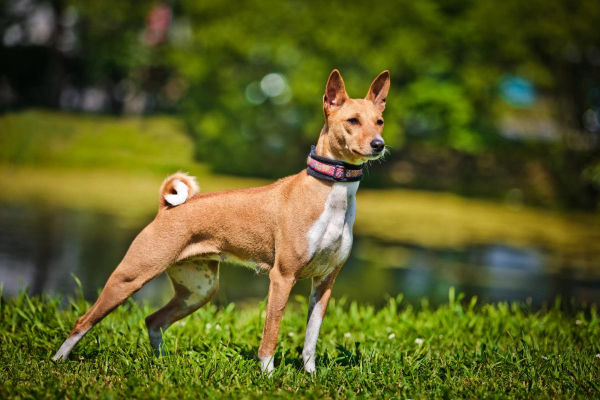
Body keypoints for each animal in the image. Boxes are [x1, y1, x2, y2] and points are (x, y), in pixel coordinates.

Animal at [54, 69, 392, 376]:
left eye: (379, 121)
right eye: (352, 121)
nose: (379, 144)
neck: (331, 193)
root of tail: (166, 208)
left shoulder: (325, 281)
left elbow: (310, 339)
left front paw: (311, 377)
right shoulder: (282, 277)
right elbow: (270, 336)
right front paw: (268, 378)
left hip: (199, 290)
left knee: (154, 321)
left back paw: (161, 364)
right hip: (130, 277)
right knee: (83, 321)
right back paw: (58, 360)